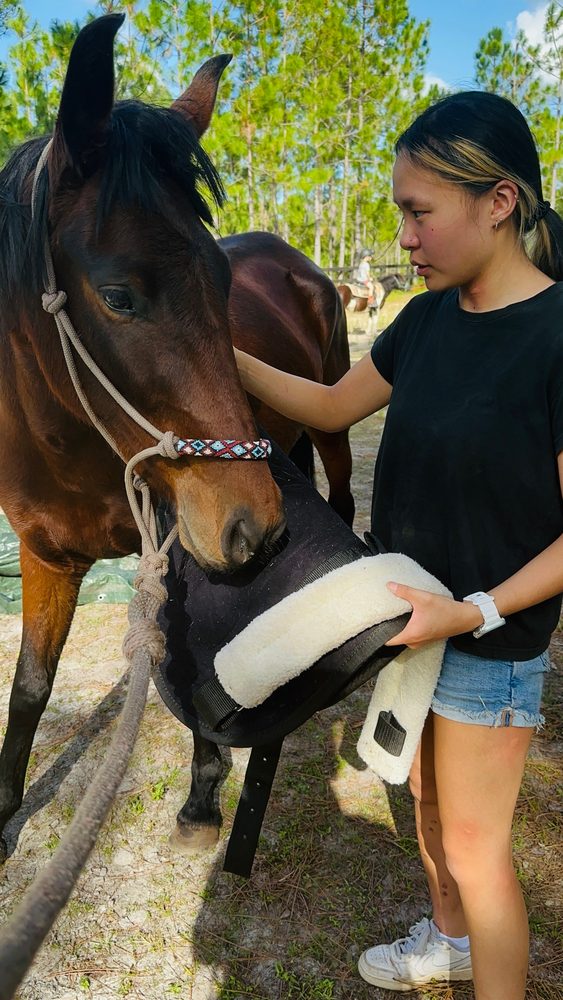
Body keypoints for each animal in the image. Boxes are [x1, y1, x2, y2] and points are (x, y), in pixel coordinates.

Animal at [0, 14, 353, 864]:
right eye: (118, 295)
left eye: (221, 280)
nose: (256, 527)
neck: (68, 443)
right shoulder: (43, 554)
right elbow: (29, 687)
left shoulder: (177, 544)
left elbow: (189, 666)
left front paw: (200, 794)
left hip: (329, 426)